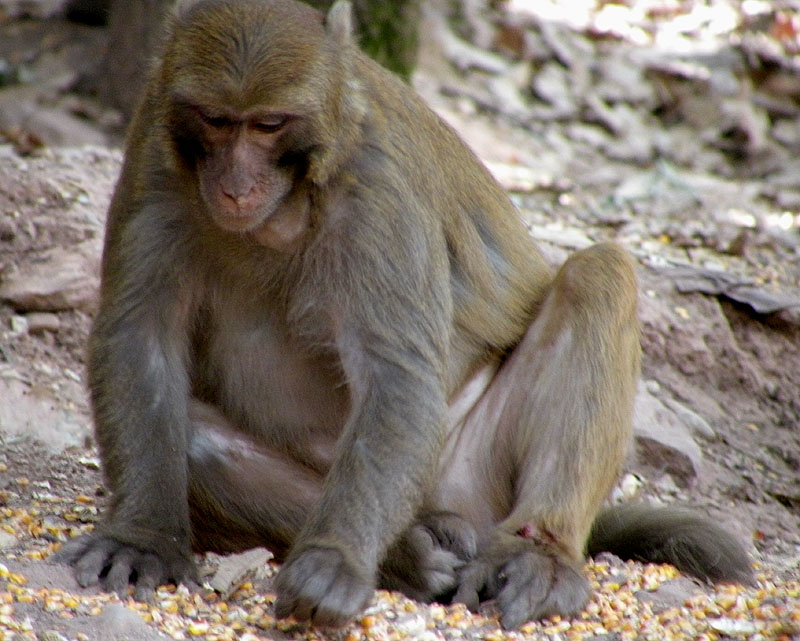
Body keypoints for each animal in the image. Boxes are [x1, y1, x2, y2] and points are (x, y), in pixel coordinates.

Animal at [56, 0, 756, 632]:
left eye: (269, 125)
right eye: (215, 120)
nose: (234, 184)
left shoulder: (374, 191)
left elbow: (395, 374)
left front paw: (336, 560)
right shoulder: (154, 150)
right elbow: (139, 337)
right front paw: (144, 537)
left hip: (474, 477)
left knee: (599, 277)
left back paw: (537, 556)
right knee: (198, 441)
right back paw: (410, 557)